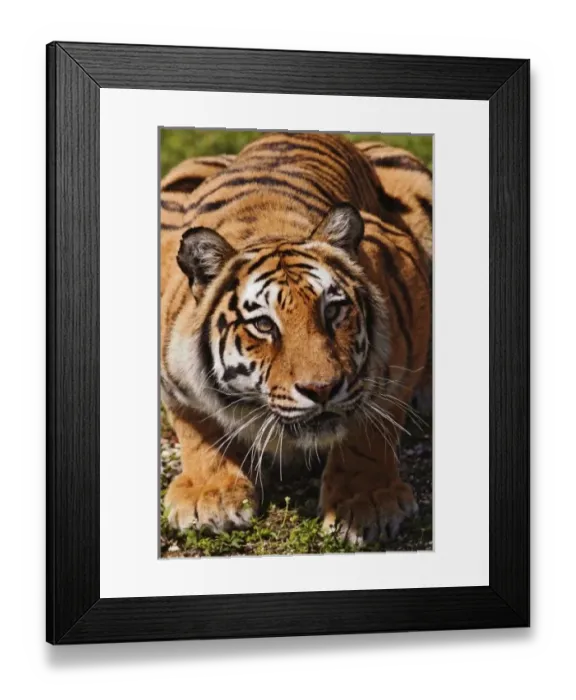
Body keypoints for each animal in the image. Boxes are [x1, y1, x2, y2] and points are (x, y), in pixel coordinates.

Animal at [160, 132, 432, 545]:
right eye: (264, 325)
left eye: (332, 311)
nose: (322, 390)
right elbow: (197, 424)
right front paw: (211, 496)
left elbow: (371, 424)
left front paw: (364, 503)